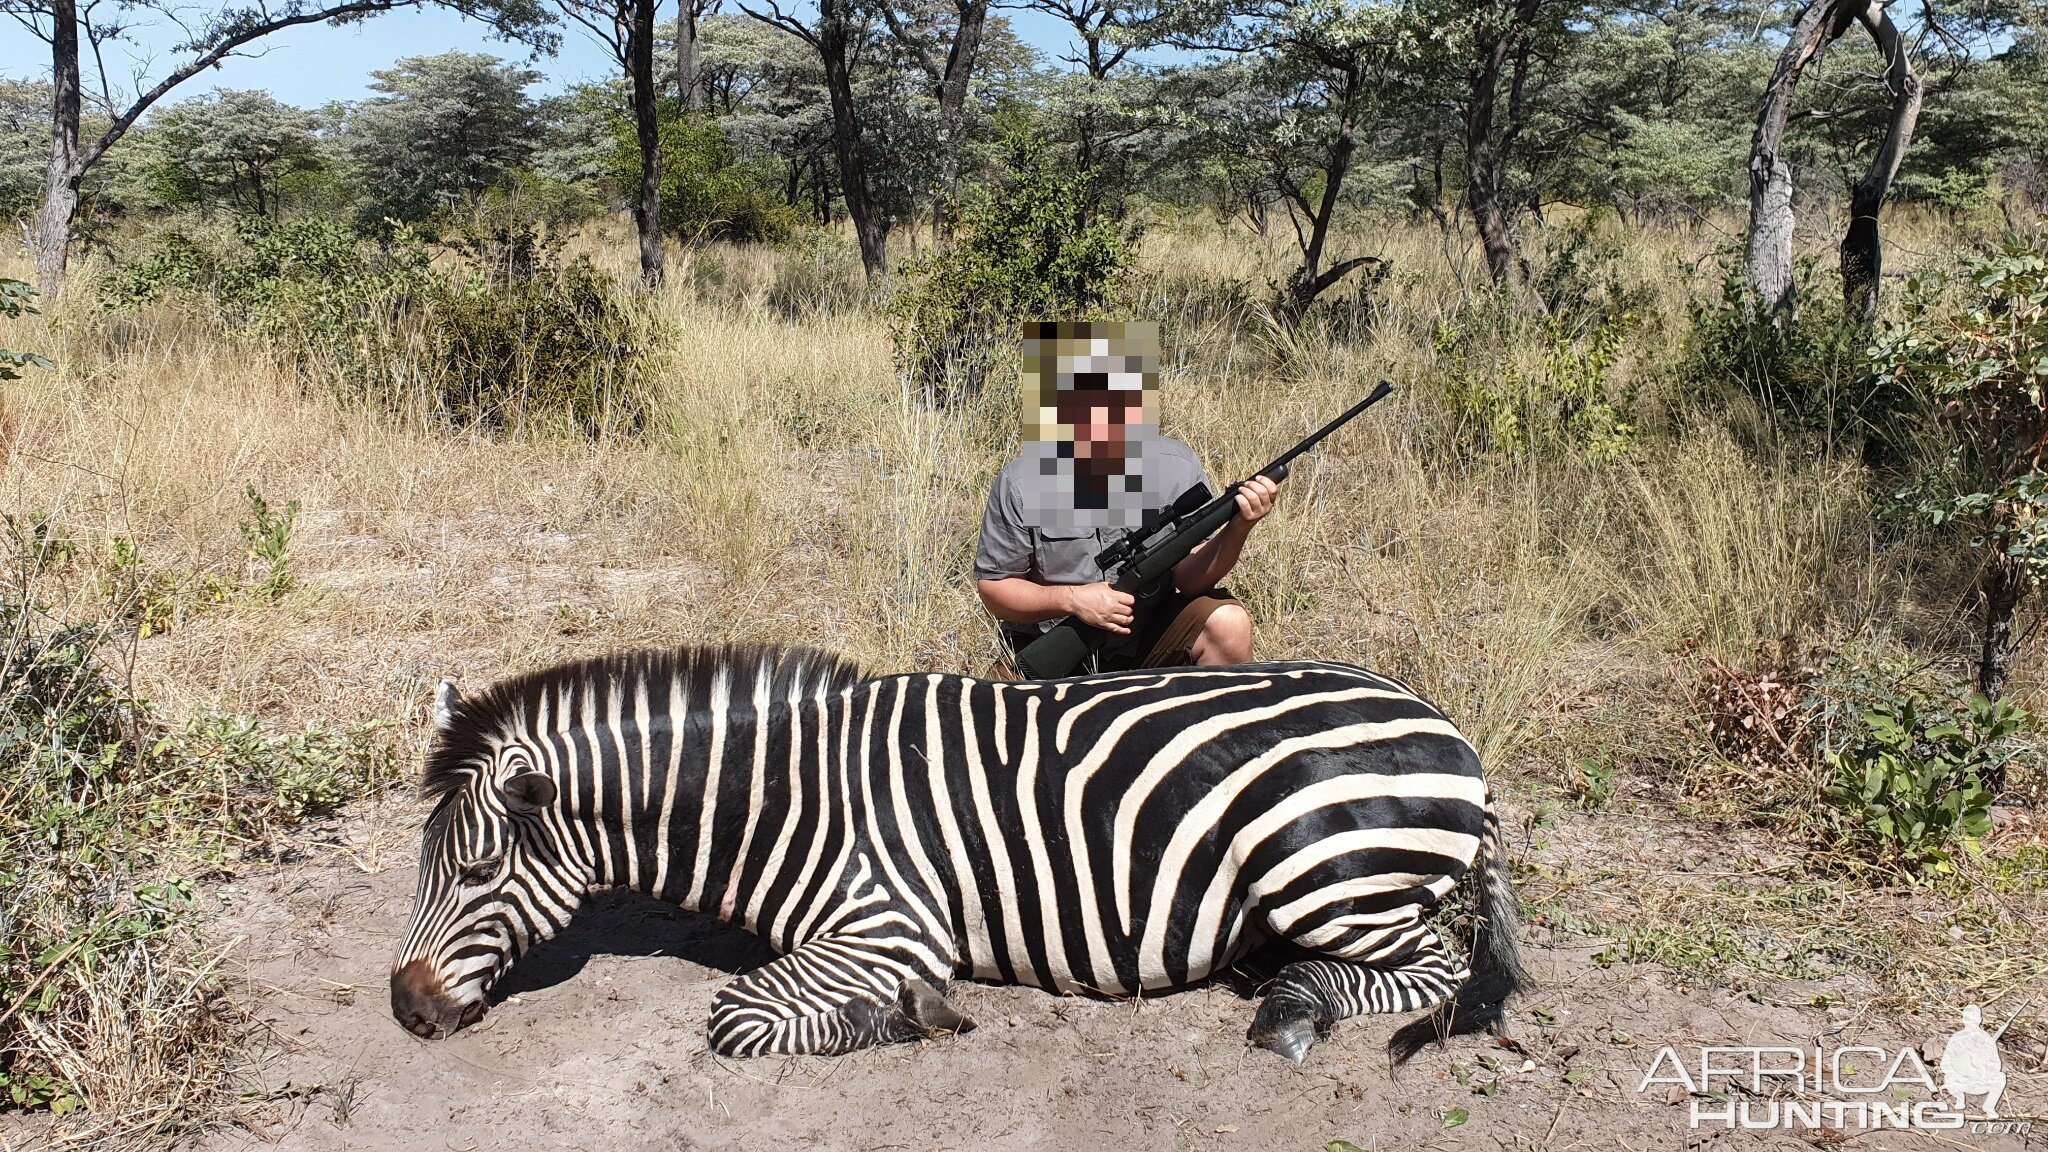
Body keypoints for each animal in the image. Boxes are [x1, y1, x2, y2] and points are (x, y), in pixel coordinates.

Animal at [387, 635, 1523, 1057]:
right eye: (423, 868)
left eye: (477, 872)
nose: (405, 1008)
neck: (791, 798)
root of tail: (1450, 726)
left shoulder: (887, 924)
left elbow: (735, 1017)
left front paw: (908, 1016)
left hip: (1322, 872)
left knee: (1430, 968)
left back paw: (1293, 1007)